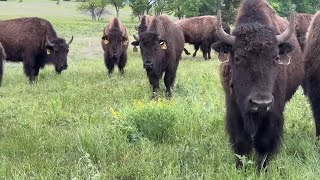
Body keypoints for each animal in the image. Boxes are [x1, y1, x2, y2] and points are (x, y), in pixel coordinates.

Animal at [211, 0, 304, 171]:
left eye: (276, 58)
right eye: (238, 57)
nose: (261, 103)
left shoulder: (273, 111)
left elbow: (265, 142)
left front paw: (262, 168)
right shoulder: (234, 108)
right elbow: (240, 140)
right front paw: (240, 167)